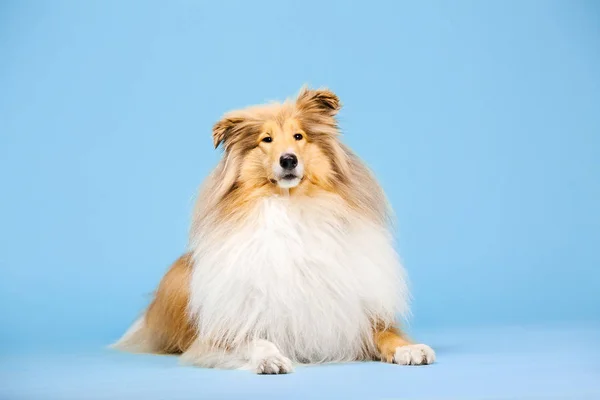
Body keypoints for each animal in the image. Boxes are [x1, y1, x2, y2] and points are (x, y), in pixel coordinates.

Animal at [112, 86, 434, 374]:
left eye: (298, 136)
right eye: (266, 139)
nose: (288, 159)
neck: (291, 208)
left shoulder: (356, 316)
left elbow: (387, 333)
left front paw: (410, 349)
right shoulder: (228, 328)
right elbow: (255, 339)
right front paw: (271, 359)